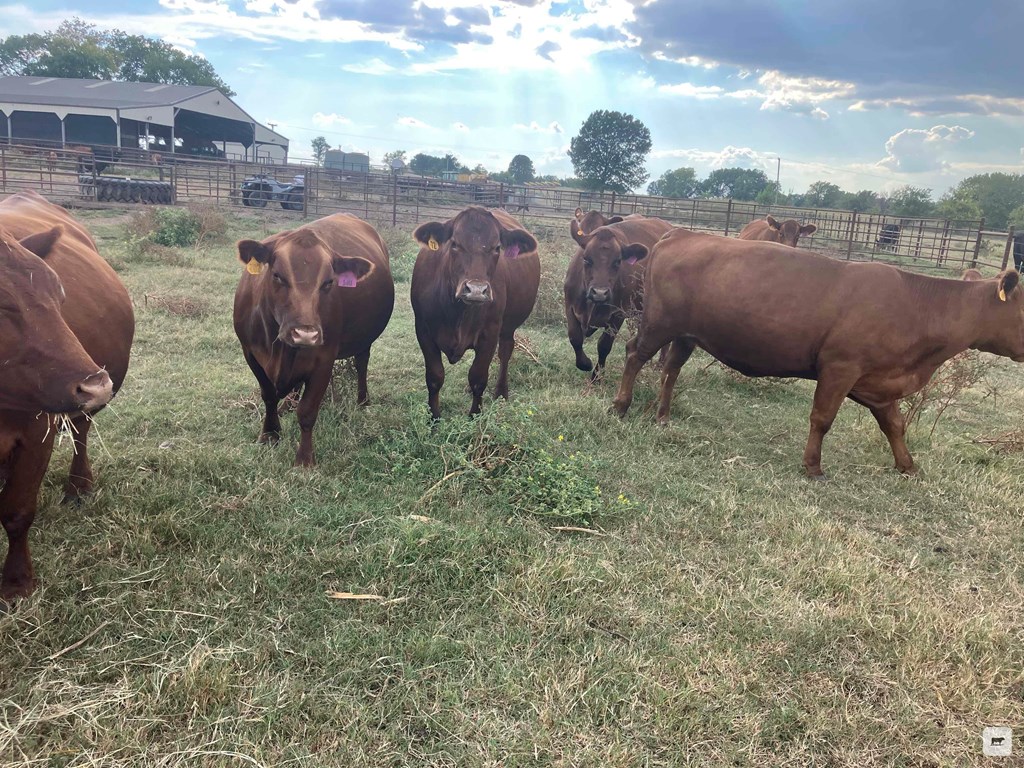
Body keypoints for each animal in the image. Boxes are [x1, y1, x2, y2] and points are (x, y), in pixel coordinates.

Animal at [234, 211, 393, 468]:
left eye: (328, 282)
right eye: (277, 276)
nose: (305, 333)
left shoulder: (323, 360)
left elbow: (307, 411)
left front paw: (305, 458)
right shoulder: (250, 353)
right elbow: (268, 396)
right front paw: (270, 434)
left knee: (362, 363)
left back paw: (362, 400)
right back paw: (288, 403)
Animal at [407, 207, 540, 417]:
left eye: (497, 248)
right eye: (454, 244)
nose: (476, 290)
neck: (457, 313)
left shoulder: (490, 334)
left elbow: (478, 378)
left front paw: (474, 416)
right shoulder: (423, 331)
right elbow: (435, 378)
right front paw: (434, 418)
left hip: (508, 327)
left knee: (505, 352)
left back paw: (501, 392)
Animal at [565, 217, 675, 378]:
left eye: (617, 261)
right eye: (586, 259)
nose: (599, 292)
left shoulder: (618, 315)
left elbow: (604, 345)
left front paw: (596, 376)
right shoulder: (569, 306)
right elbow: (575, 337)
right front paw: (585, 363)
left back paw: (660, 364)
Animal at [610, 228, 1024, 479]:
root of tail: (681, 232)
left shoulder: (879, 383)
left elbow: (895, 424)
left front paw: (908, 466)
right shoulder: (841, 367)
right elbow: (823, 418)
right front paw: (812, 466)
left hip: (685, 335)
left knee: (671, 369)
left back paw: (663, 416)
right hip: (657, 325)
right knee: (634, 355)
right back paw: (621, 406)